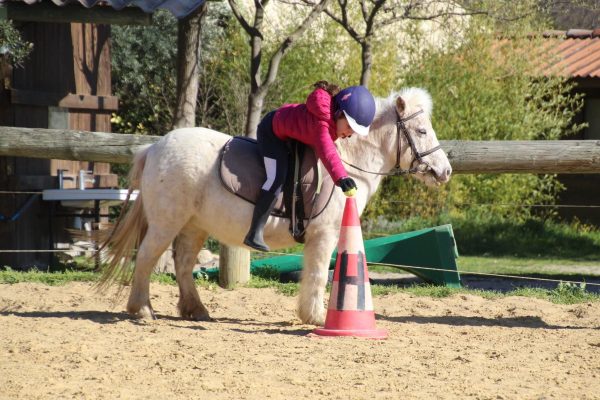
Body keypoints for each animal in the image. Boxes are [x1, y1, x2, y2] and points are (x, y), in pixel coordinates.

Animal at [101, 87, 452, 324]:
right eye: (422, 130)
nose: (445, 171)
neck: (348, 160)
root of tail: (154, 147)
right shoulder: (324, 234)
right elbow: (317, 275)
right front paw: (316, 317)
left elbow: (314, 274)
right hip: (166, 223)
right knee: (147, 258)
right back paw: (142, 310)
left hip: (194, 226)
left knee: (183, 265)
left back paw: (196, 310)